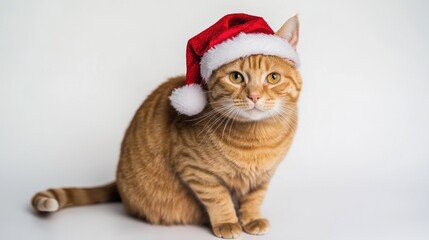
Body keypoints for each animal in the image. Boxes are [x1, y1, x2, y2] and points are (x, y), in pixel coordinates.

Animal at [30, 14, 300, 238]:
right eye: (236, 77)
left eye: (273, 78)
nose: (254, 96)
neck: (258, 138)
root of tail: (118, 182)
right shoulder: (195, 169)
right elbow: (218, 198)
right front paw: (227, 222)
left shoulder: (264, 175)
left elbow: (254, 198)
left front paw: (252, 219)